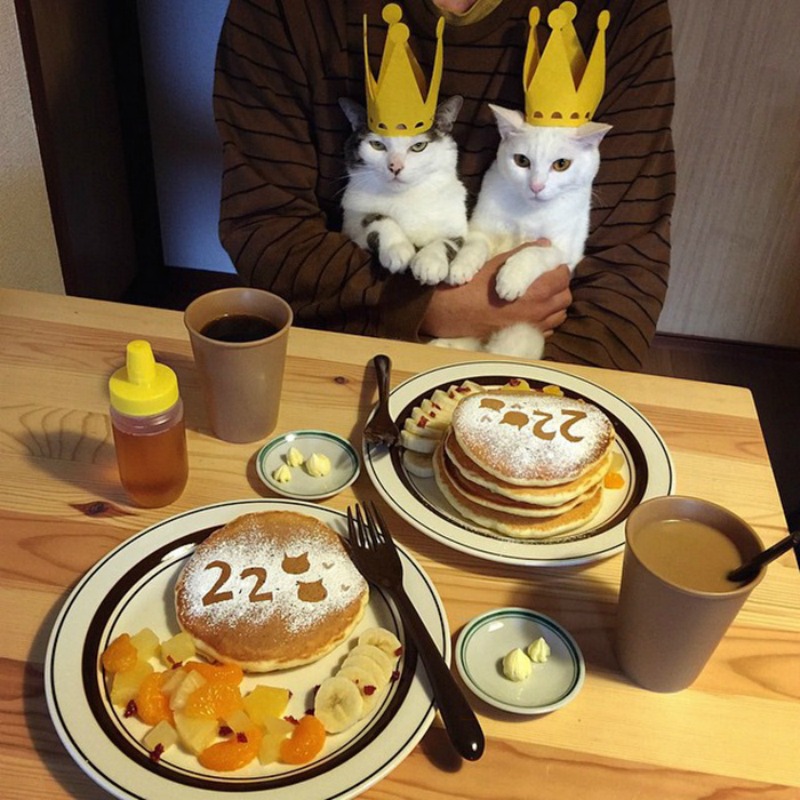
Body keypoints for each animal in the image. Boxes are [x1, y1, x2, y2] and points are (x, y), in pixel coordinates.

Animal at [338, 95, 468, 286]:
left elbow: (449, 240)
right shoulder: (352, 221)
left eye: (419, 146)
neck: (407, 196)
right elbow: (375, 217)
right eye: (377, 144)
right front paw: (397, 248)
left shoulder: (457, 224)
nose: (395, 167)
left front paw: (430, 261)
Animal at [432, 102, 612, 356]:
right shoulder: (482, 228)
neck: (527, 212)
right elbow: (475, 244)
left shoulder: (565, 253)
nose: (536, 186)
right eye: (522, 161)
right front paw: (461, 266)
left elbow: (533, 252)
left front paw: (512, 278)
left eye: (561, 164)